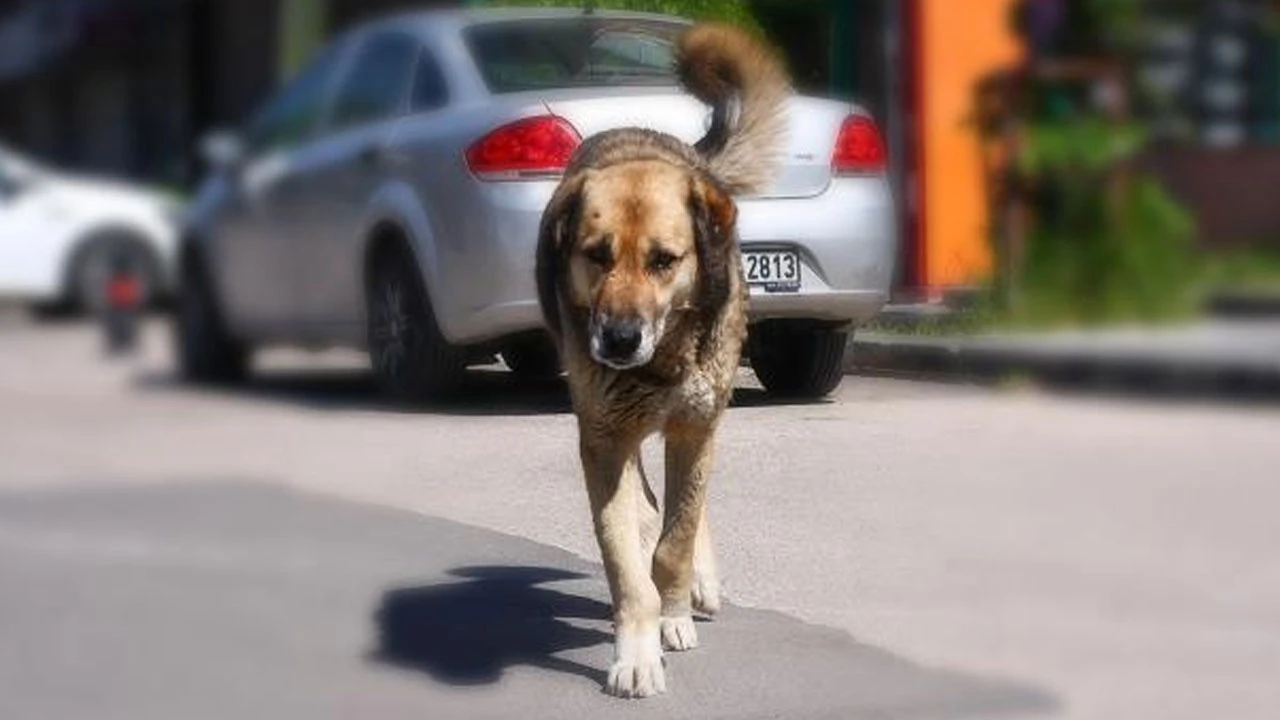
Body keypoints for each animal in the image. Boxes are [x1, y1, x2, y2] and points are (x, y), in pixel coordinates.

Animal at [532, 23, 788, 696]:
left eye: (664, 261)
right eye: (596, 254)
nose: (619, 339)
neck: (662, 362)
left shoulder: (695, 428)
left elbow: (676, 539)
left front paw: (673, 612)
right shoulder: (602, 439)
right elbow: (626, 560)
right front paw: (637, 650)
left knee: (685, 513)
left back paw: (695, 582)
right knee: (648, 506)